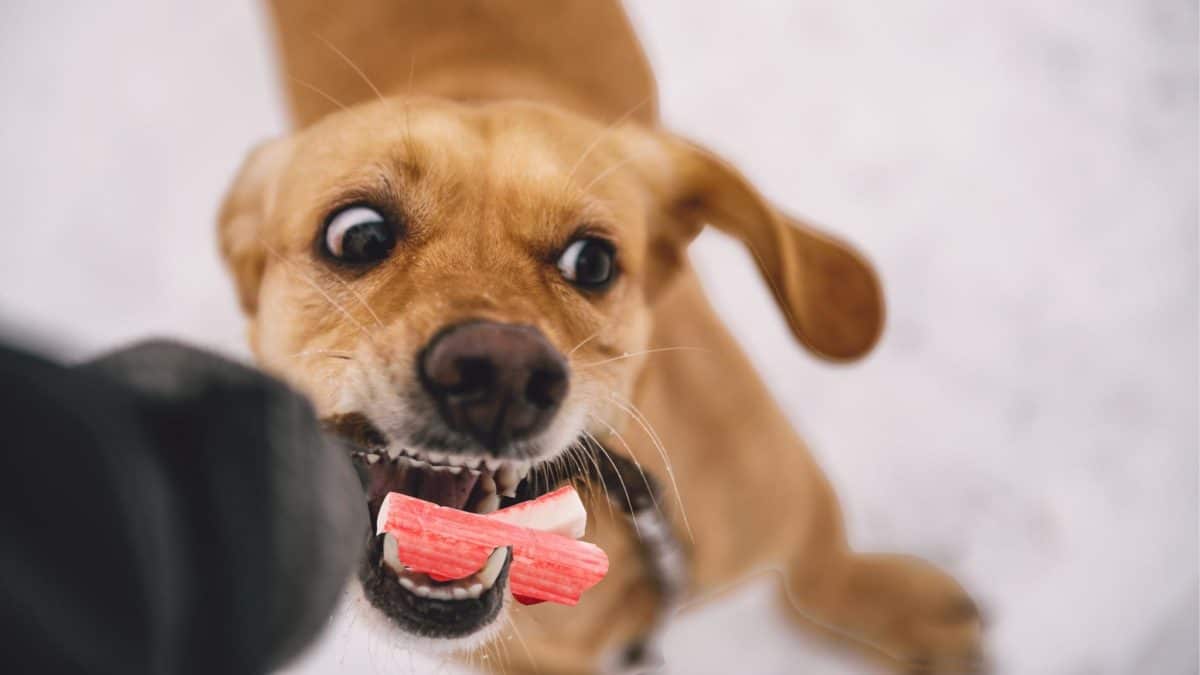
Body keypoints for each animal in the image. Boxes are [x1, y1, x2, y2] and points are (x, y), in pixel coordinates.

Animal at [218, 2, 984, 667]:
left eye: (593, 261)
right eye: (358, 234)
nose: (499, 375)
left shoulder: (789, 492)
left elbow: (817, 569)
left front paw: (900, 610)